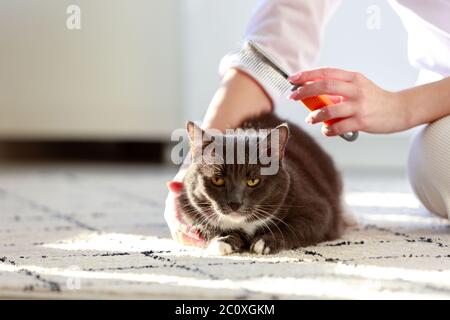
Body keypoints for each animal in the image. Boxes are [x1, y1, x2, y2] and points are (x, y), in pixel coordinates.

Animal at [177, 112, 352, 255]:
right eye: (217, 180)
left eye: (253, 181)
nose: (235, 203)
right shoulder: (186, 205)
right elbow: (202, 223)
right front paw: (224, 240)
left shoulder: (319, 210)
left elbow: (299, 226)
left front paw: (265, 241)